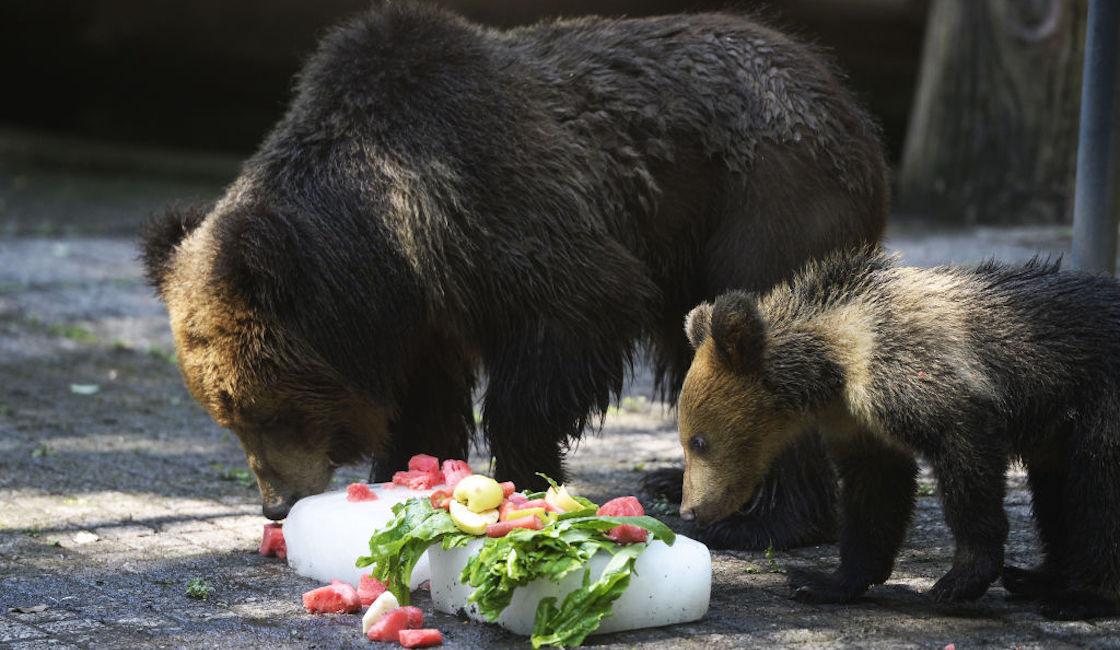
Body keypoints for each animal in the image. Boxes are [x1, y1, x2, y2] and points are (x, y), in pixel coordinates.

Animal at [140, 3, 887, 533]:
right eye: (225, 415)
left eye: (262, 409)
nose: (276, 502)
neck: (388, 241)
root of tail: (845, 98)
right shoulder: (421, 310)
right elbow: (424, 398)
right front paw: (405, 470)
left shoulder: (501, 204)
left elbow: (572, 317)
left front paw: (524, 476)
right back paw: (674, 479)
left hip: (760, 200)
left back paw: (768, 518)